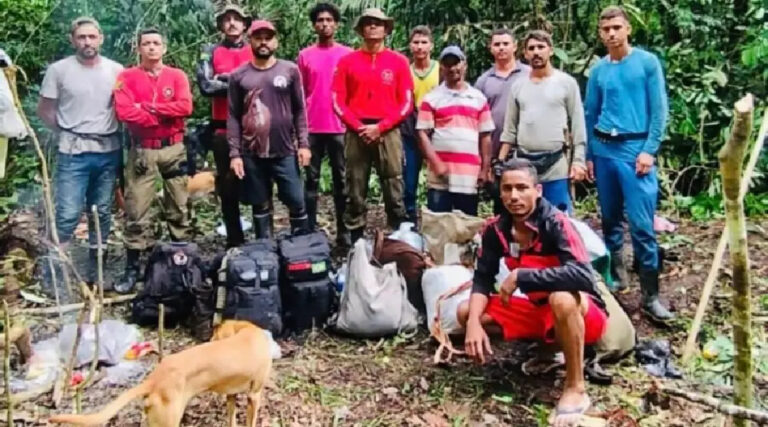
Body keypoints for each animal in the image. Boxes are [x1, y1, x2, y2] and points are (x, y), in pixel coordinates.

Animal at [48, 320, 272, 427]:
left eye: (213, 337)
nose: (208, 340)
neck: (247, 331)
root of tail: (154, 378)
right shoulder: (255, 395)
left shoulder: (231, 395)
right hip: (168, 421)